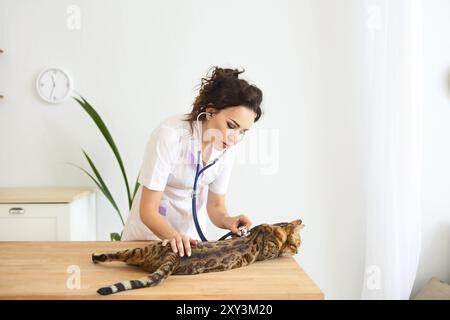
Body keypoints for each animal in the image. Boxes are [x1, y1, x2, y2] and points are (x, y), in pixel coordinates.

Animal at [91, 219, 304, 296]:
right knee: (115, 254)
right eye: (298, 243)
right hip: (143, 249)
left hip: (141, 253)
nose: (298, 252)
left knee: (122, 257)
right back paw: (95, 256)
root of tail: (174, 255)